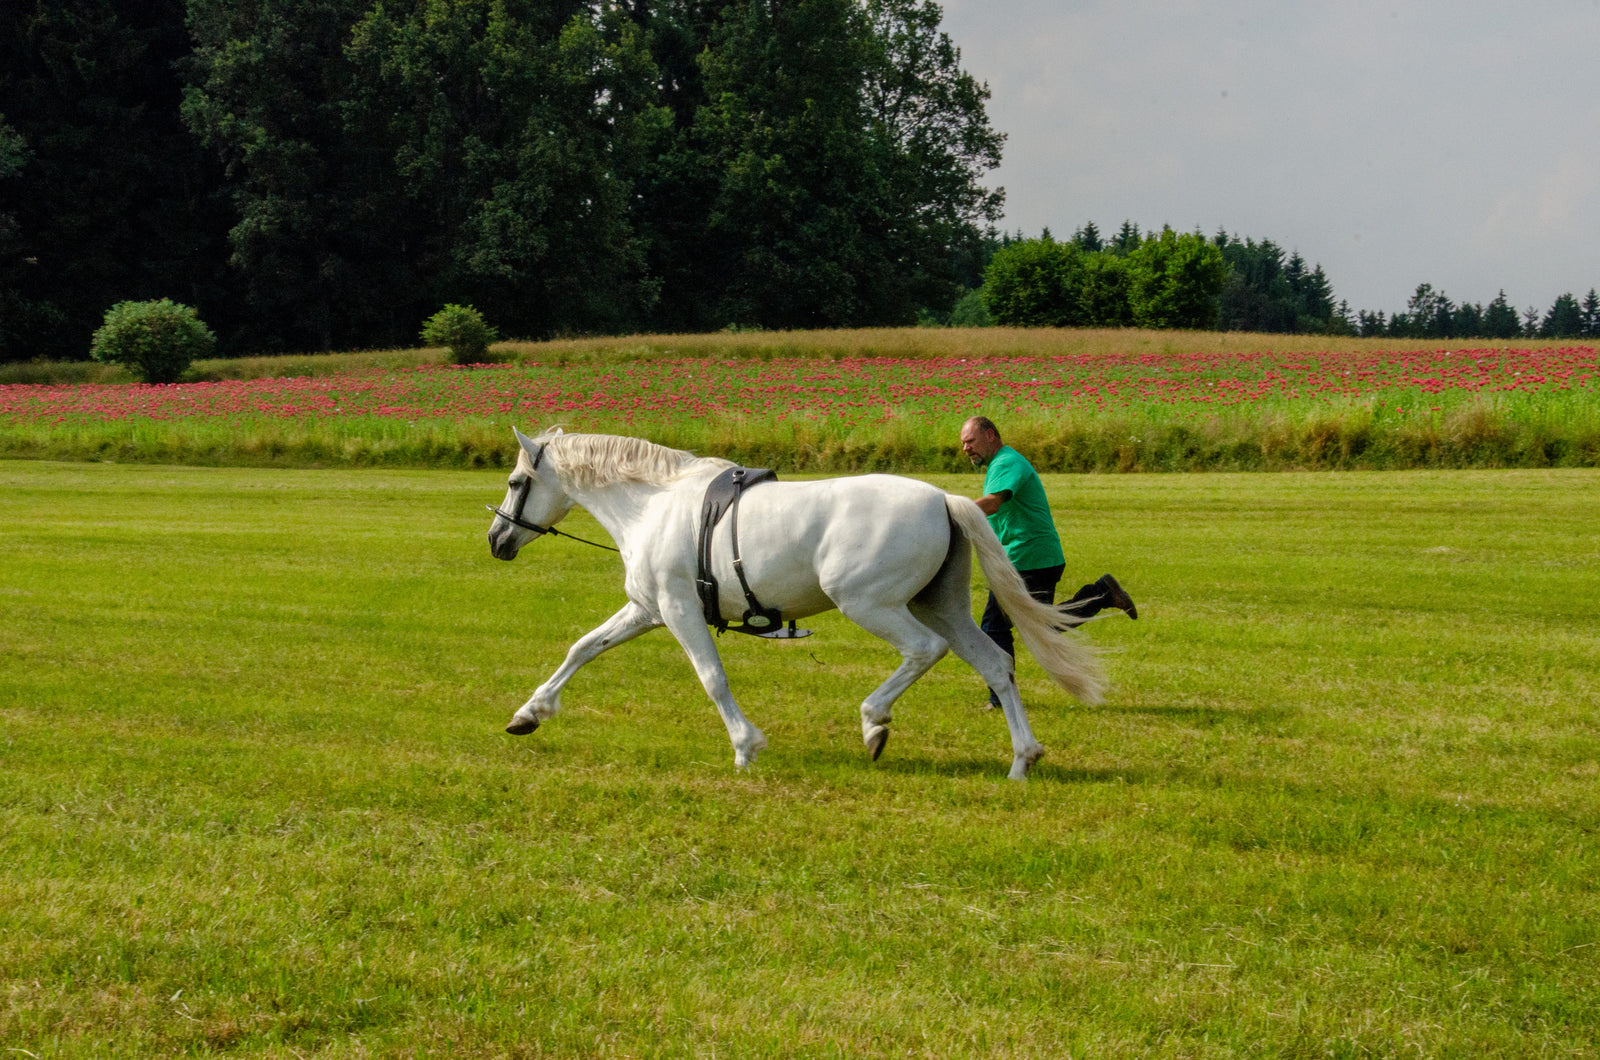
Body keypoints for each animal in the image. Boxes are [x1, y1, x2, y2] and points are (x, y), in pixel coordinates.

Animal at [485, 427, 1105, 780]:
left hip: (872, 605)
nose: (496, 540)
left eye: (516, 482)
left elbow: (712, 678)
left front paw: (745, 748)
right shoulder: (647, 609)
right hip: (942, 605)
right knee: (996, 664)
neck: (653, 504)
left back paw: (874, 722)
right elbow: (583, 648)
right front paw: (529, 713)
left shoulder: (680, 612)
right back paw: (1022, 759)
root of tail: (943, 499)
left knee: (924, 651)